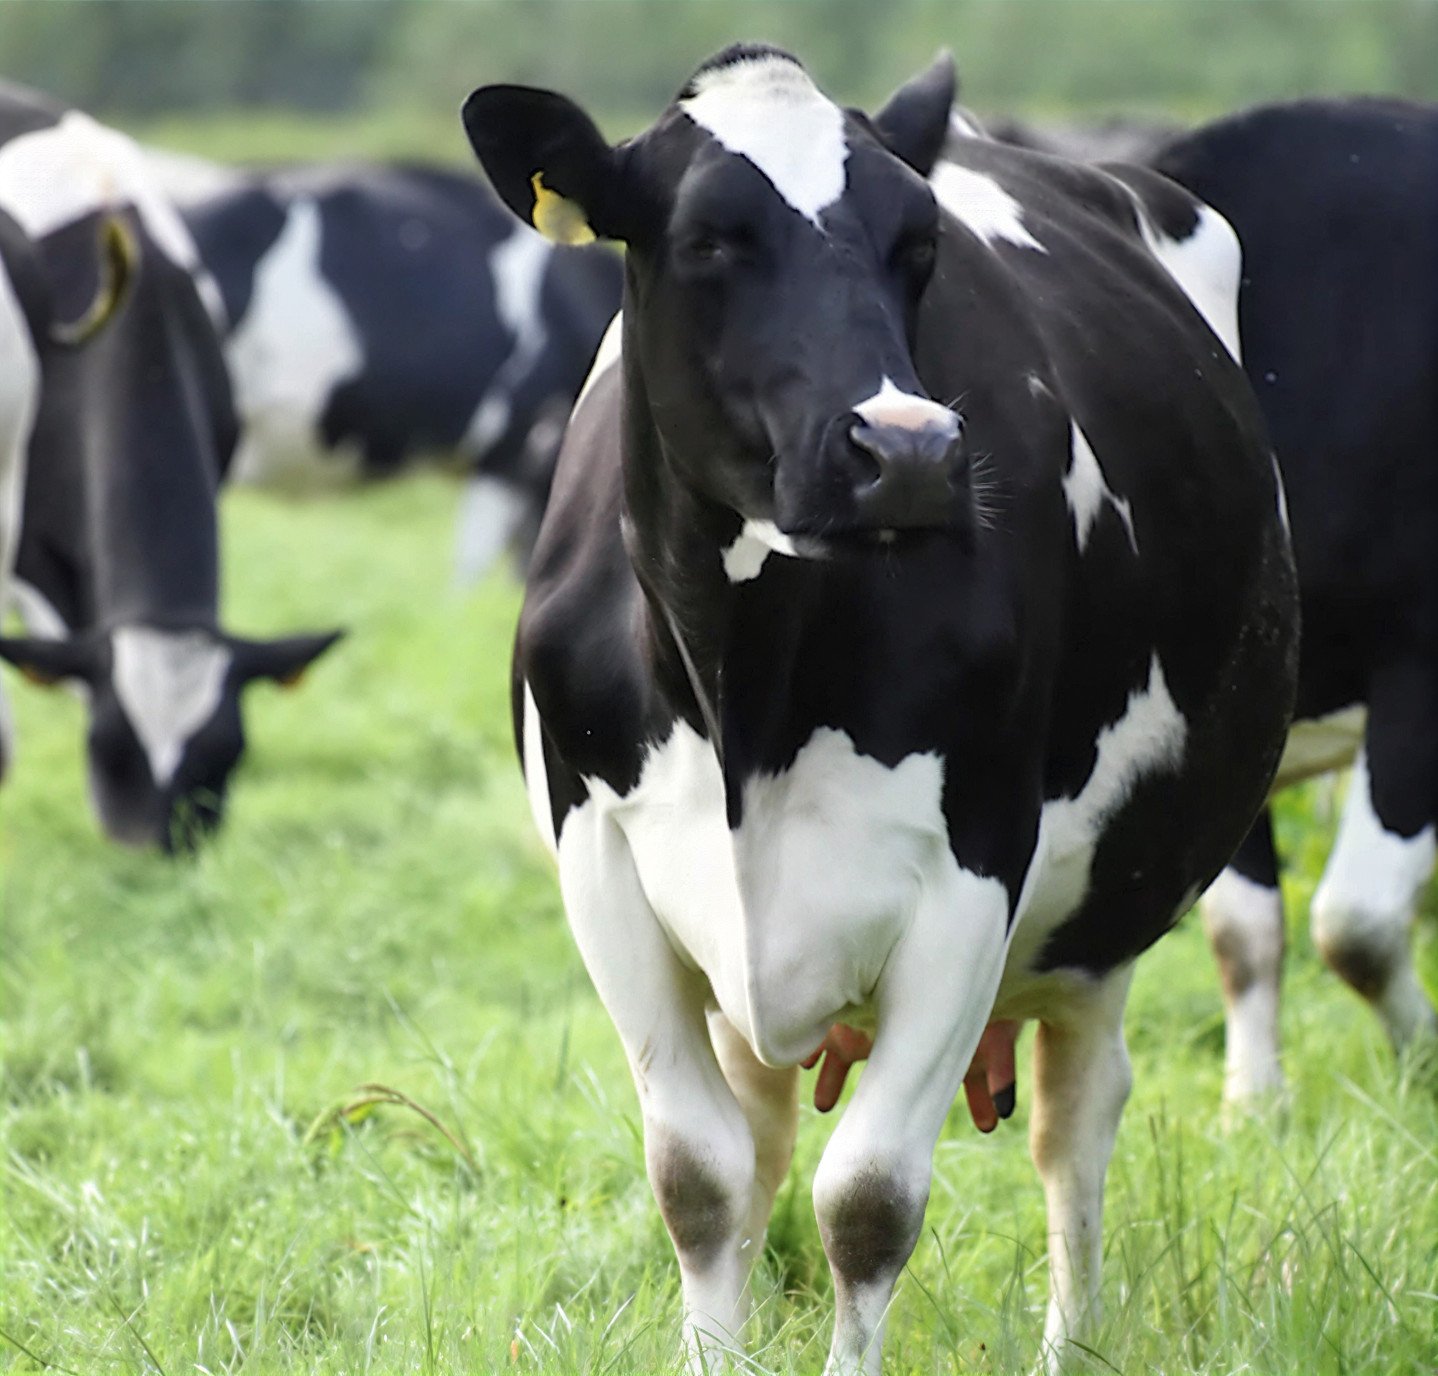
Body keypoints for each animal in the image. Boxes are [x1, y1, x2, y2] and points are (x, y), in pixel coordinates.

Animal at [463, 45, 1298, 1374]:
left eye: (918, 242)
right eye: (706, 238)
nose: (905, 450)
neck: (743, 689)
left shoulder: (972, 874)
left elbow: (867, 1199)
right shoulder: (600, 862)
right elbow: (698, 1176)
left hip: (1099, 915)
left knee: (1075, 1118)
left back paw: (1070, 1338)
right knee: (762, 1138)